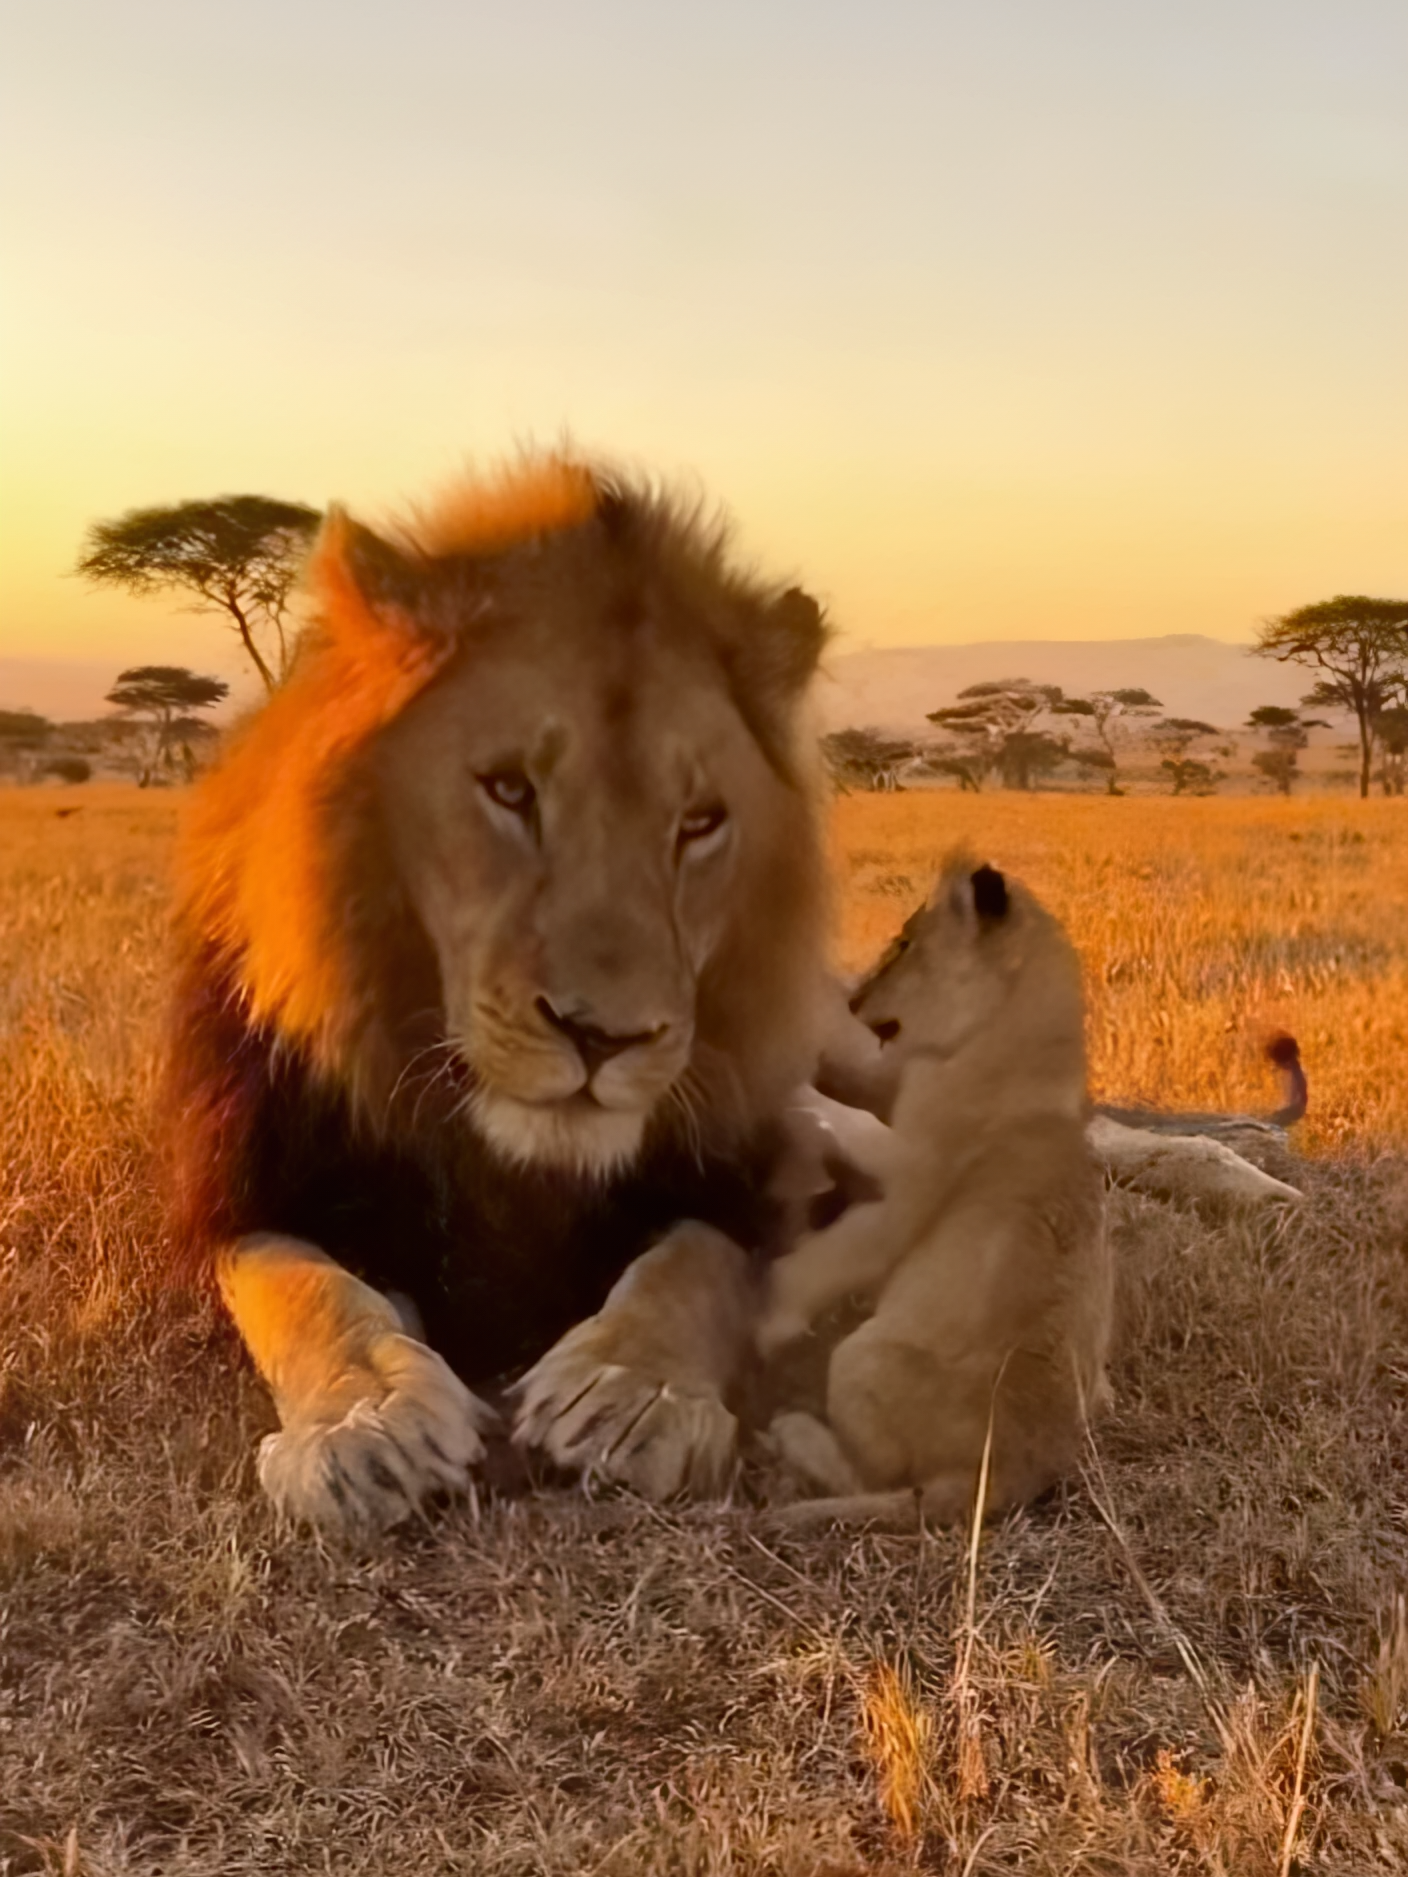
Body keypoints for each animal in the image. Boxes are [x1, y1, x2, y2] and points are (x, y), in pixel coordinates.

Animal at [166, 454, 830, 1535]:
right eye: (510, 789)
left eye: (699, 821)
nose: (604, 1037)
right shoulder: (249, 1190)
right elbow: (307, 1290)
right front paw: (369, 1425)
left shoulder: (739, 1183)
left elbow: (695, 1264)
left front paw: (632, 1393)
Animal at [755, 860, 1113, 1530]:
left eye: (903, 943)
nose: (852, 1000)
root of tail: (1014, 1474)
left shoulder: (907, 1182)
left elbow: (843, 1179)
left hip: (859, 1356)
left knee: (874, 1477)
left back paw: (792, 1432)